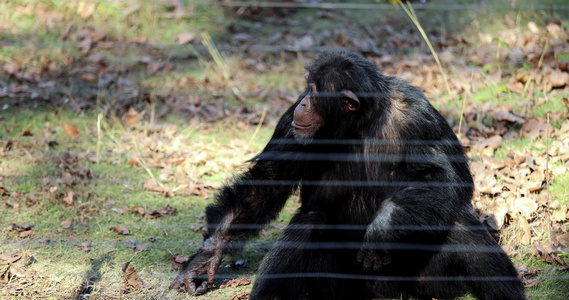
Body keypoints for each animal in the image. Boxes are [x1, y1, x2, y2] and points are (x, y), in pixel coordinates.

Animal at [169, 51, 524, 300]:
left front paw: (381, 231)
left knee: (459, 222)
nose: (305, 101)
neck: (358, 123)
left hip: (427, 282)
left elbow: (443, 175)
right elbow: (267, 180)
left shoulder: (418, 115)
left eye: (315, 91)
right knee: (309, 225)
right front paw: (206, 257)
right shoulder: (290, 122)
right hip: (339, 287)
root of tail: (384, 293)